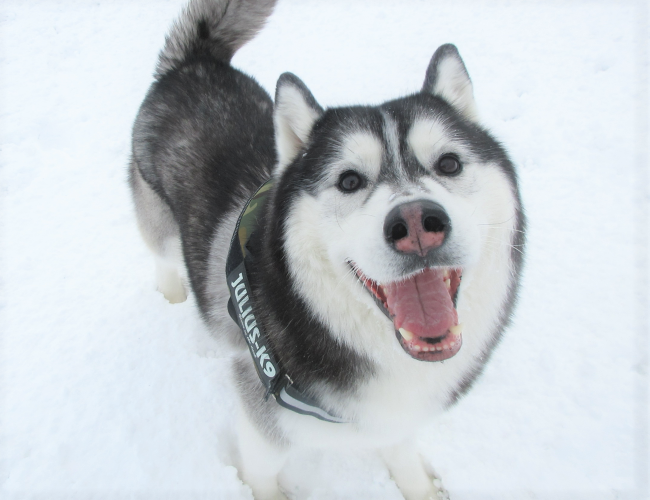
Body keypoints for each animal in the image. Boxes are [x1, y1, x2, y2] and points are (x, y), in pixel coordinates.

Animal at [129, 0, 526, 498]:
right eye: (349, 180)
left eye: (449, 163)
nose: (417, 223)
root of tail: (196, 62)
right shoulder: (262, 419)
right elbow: (262, 473)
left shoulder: (394, 419)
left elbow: (401, 452)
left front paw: (419, 486)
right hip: (159, 221)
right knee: (162, 255)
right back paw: (172, 295)